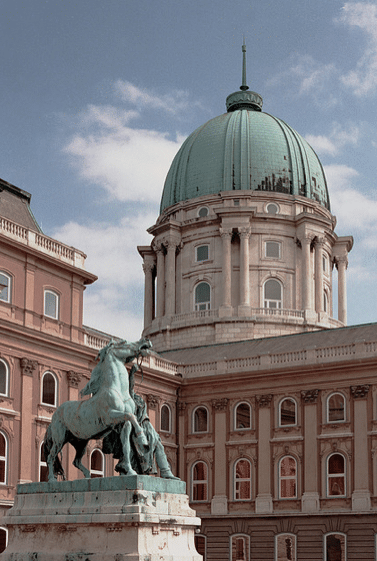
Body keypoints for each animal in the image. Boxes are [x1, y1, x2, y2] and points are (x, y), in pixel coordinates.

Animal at [43, 334, 151, 480]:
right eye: (123, 342)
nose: (146, 340)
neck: (117, 389)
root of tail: (54, 417)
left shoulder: (124, 425)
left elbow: (126, 447)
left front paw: (130, 470)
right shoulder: (110, 417)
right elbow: (131, 416)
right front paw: (143, 440)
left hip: (80, 442)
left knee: (76, 461)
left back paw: (88, 476)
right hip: (59, 439)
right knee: (51, 457)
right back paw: (51, 479)